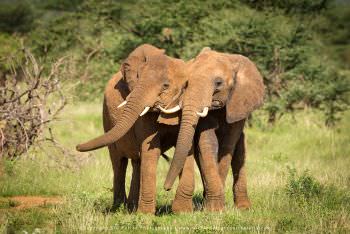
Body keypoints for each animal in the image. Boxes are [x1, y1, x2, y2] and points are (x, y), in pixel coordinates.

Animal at [76, 44, 194, 214]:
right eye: (138, 80)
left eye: (166, 85)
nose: (77, 146)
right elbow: (151, 151)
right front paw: (145, 215)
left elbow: (184, 148)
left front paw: (183, 213)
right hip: (106, 117)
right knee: (119, 162)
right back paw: (119, 207)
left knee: (137, 161)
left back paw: (131, 207)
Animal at [164, 47, 266, 210]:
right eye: (186, 83)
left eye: (218, 83)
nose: (166, 188)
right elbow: (208, 143)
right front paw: (213, 208)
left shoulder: (238, 103)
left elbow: (227, 146)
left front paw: (215, 208)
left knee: (240, 152)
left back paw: (244, 208)